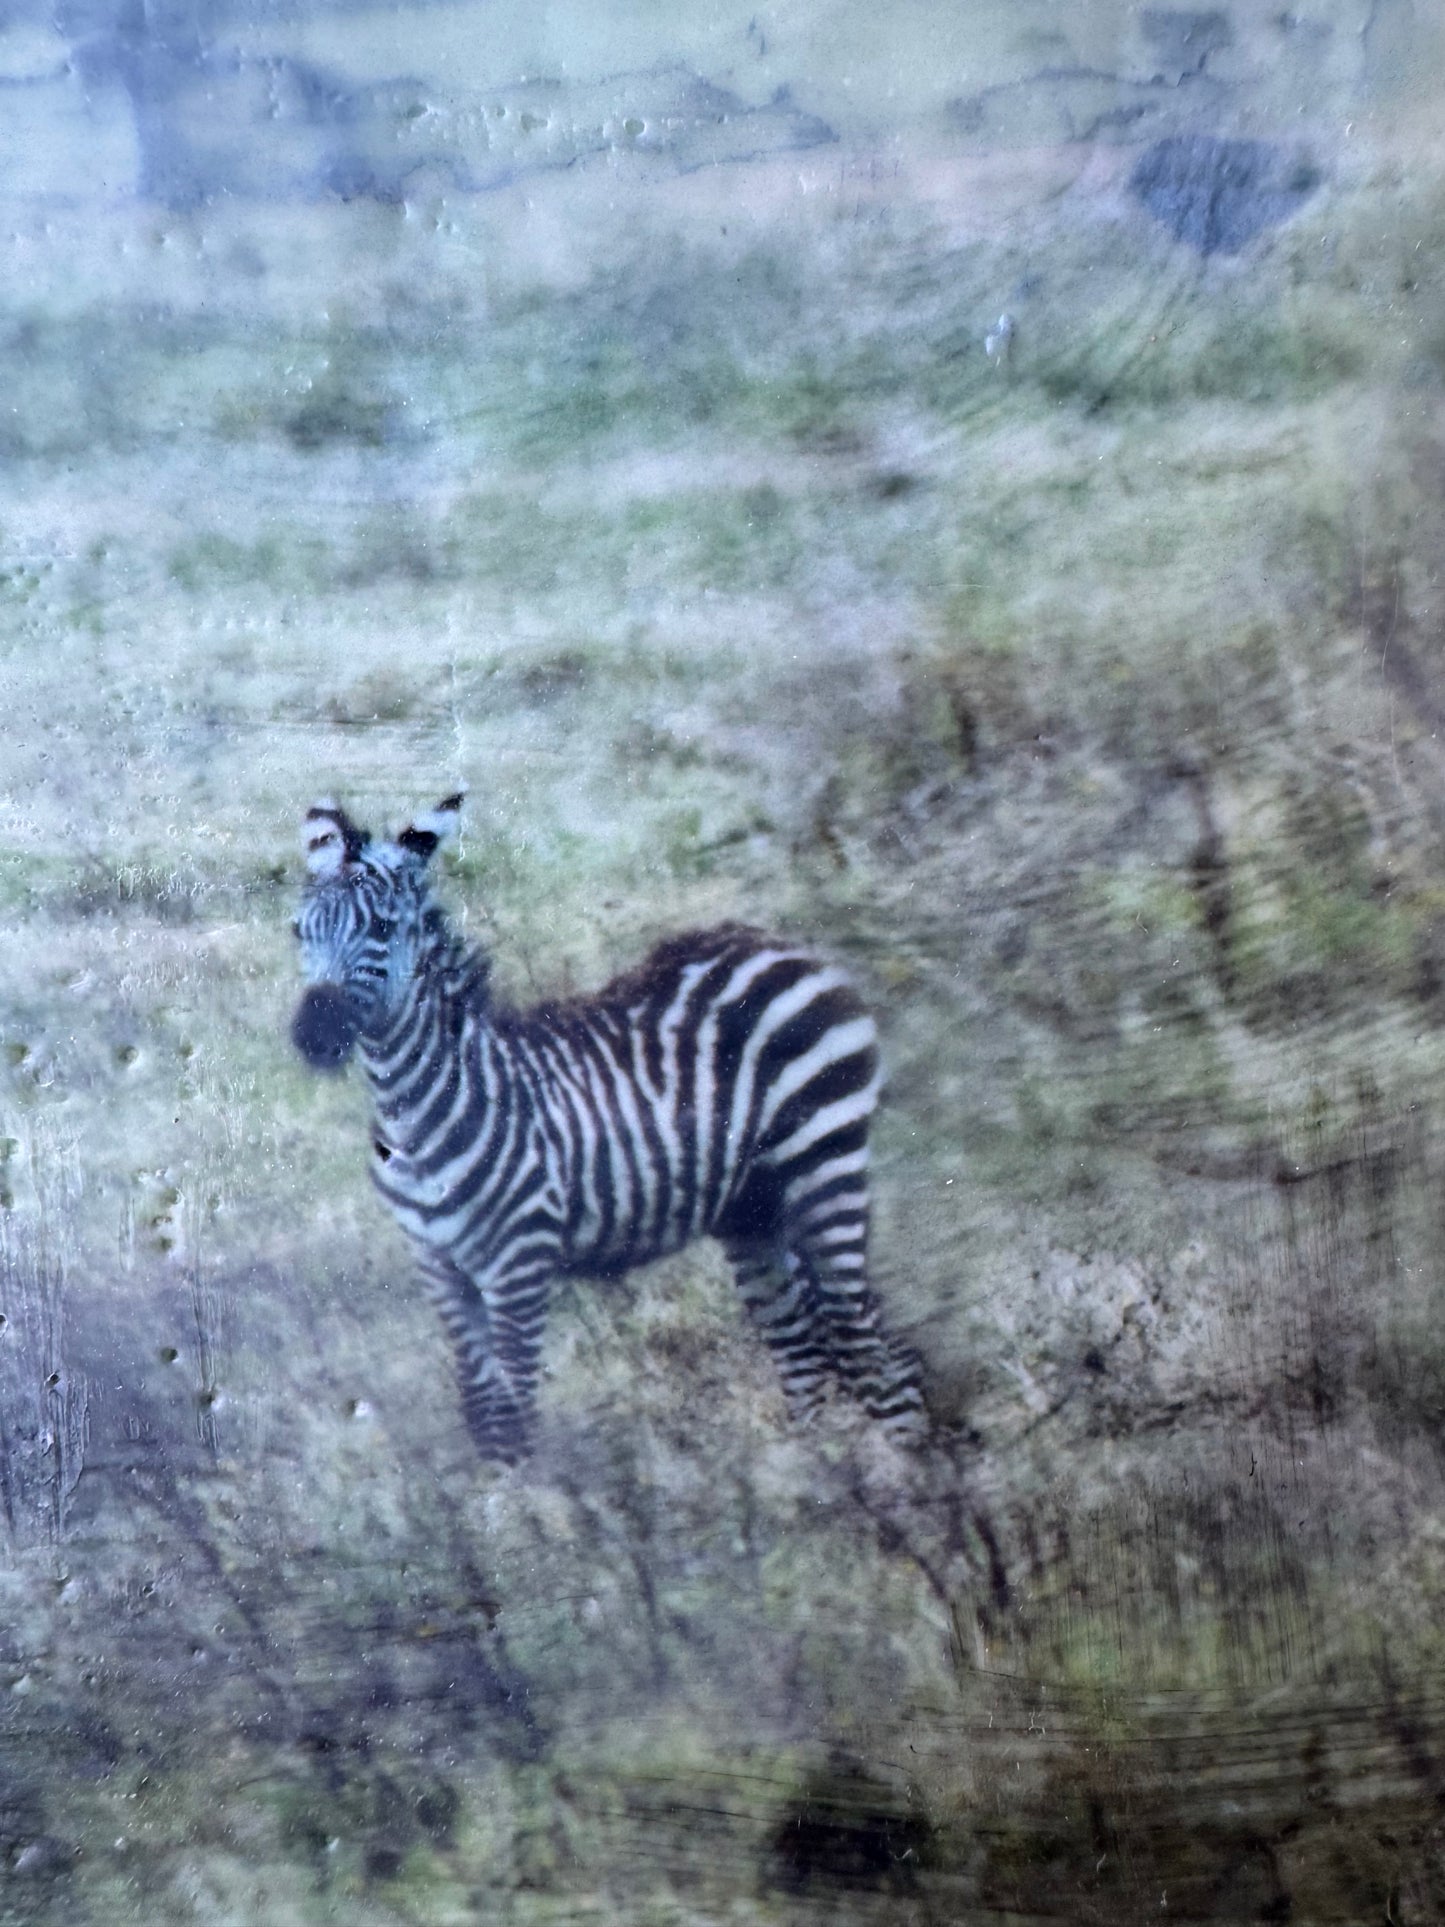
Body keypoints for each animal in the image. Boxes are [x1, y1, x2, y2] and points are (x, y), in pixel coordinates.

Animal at [290, 794, 925, 1463]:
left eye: (383, 931)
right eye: (299, 932)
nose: (312, 1035)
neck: (423, 1110)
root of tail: (776, 944)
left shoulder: (518, 1266)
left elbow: (514, 1417)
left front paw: (533, 1494)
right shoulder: (439, 1270)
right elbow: (482, 1412)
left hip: (825, 1163)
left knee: (865, 1343)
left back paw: (907, 1475)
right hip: (753, 1206)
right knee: (810, 1352)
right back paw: (823, 1471)